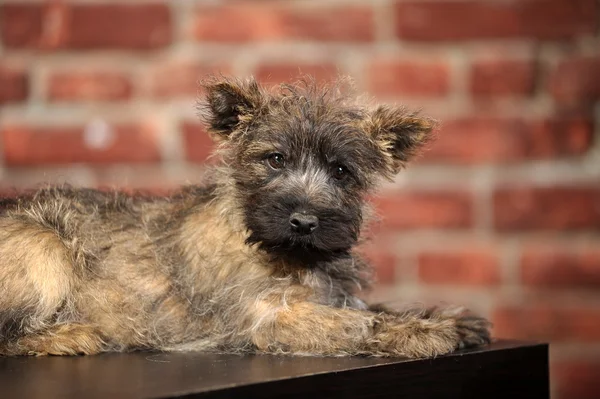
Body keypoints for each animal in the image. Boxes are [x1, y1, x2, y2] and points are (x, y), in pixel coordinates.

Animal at [0, 77, 488, 356]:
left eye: (341, 171)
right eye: (274, 159)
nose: (304, 221)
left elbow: (362, 305)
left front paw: (449, 319)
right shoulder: (268, 315)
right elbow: (354, 322)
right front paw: (424, 331)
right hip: (42, 242)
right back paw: (66, 336)